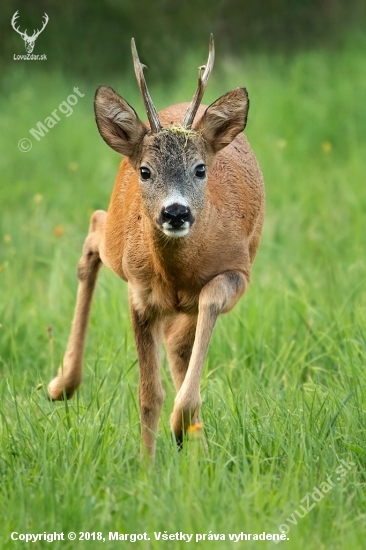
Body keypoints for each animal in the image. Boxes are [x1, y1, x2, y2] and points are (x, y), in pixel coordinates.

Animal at [49, 33, 266, 458]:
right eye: (146, 171)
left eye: (201, 168)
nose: (175, 212)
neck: (177, 274)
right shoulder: (140, 292)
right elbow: (149, 396)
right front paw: (146, 468)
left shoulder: (238, 271)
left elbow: (208, 302)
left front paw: (182, 425)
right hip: (117, 239)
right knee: (95, 227)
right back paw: (61, 385)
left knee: (178, 343)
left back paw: (194, 441)